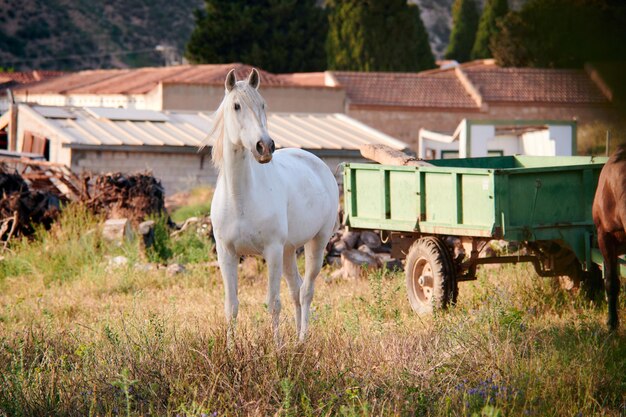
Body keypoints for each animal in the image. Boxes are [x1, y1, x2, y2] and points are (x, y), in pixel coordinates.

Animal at [208, 68, 336, 342]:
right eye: (236, 106)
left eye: (263, 105)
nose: (265, 146)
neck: (240, 198)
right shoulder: (226, 253)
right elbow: (231, 306)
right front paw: (230, 348)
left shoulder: (273, 251)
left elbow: (273, 304)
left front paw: (276, 347)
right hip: (289, 250)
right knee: (296, 290)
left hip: (316, 243)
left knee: (306, 291)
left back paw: (301, 340)